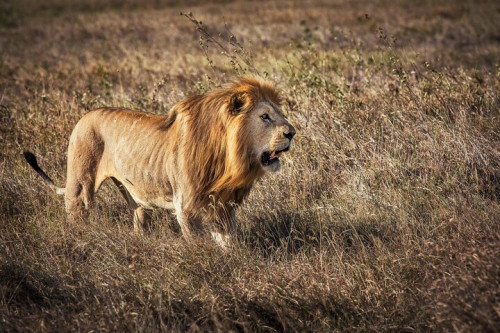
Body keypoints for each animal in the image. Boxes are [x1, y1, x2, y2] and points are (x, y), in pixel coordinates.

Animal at [23, 76, 294, 246]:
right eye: (265, 117)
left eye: (281, 115)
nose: (292, 133)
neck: (229, 159)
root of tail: (84, 116)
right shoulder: (187, 207)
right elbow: (200, 245)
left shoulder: (224, 206)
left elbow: (229, 244)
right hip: (79, 188)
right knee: (77, 215)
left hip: (136, 199)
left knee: (139, 219)